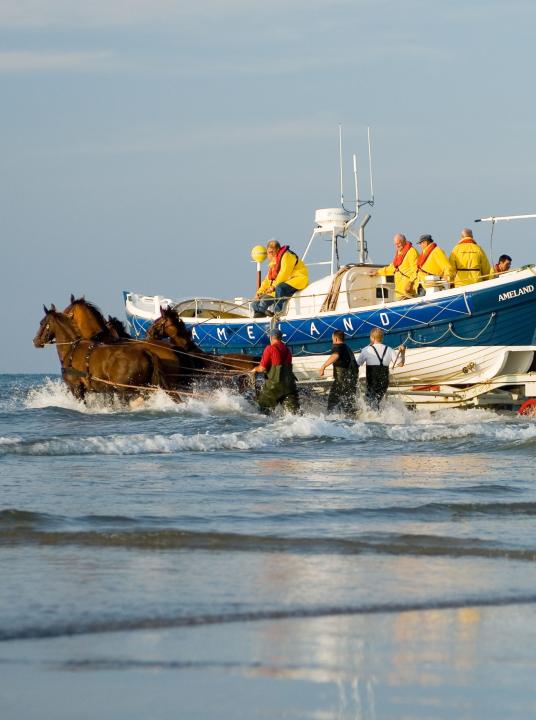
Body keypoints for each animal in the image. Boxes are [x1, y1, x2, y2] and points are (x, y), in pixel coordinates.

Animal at [32, 306, 174, 402]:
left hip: (126, 390)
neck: (72, 348)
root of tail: (147, 353)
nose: (35, 340)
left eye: (42, 323)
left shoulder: (76, 387)